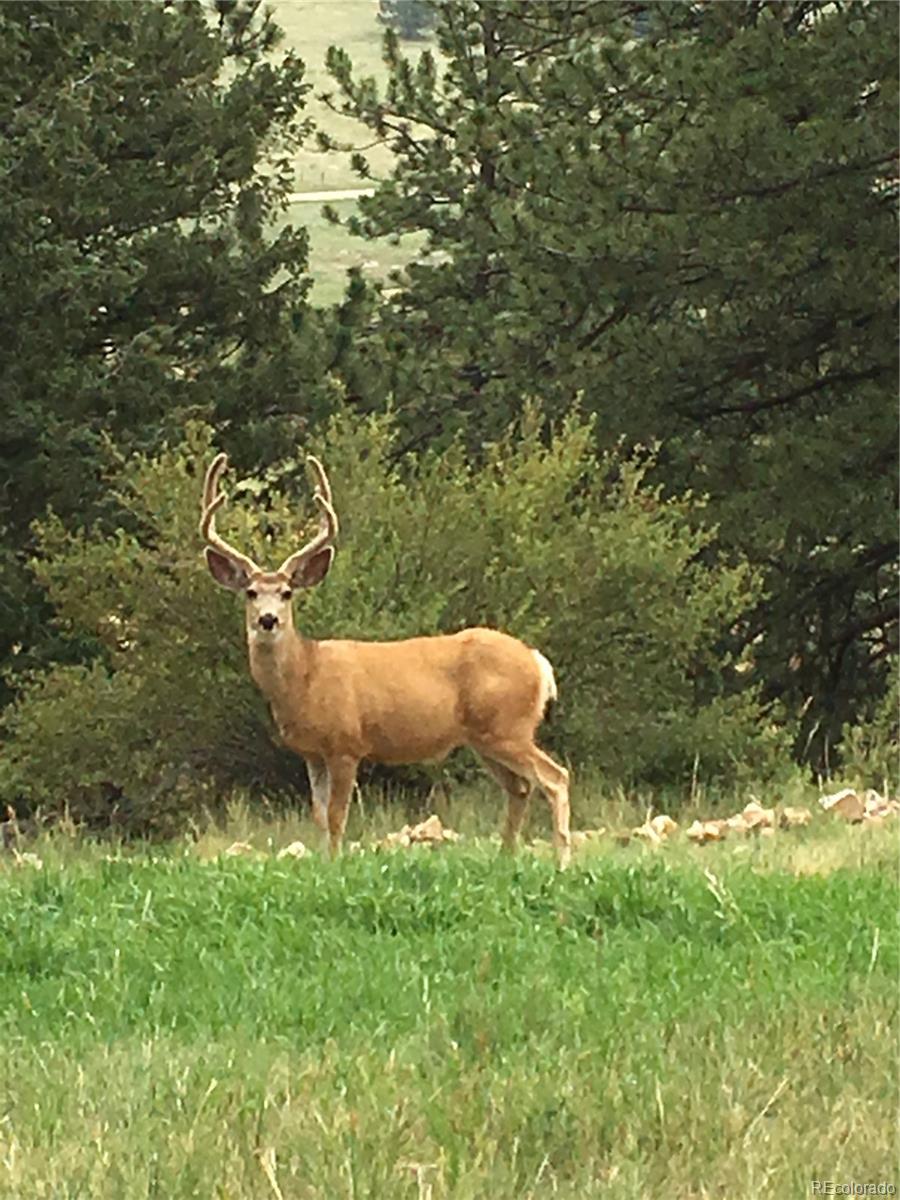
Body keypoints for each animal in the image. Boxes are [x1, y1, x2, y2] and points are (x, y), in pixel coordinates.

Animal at [200, 451, 573, 864]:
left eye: (286, 593)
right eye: (251, 592)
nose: (268, 619)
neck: (306, 676)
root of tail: (537, 661)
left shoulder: (346, 744)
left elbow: (336, 817)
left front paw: (335, 864)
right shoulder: (312, 753)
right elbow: (318, 815)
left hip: (508, 726)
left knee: (555, 777)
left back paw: (562, 862)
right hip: (487, 737)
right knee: (520, 787)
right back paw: (505, 857)